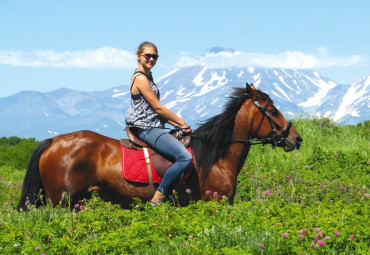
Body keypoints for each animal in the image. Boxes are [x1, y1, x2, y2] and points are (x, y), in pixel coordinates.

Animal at [17, 83, 302, 209]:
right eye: (273, 111)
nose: (296, 138)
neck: (216, 158)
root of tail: (53, 141)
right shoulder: (215, 204)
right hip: (60, 202)